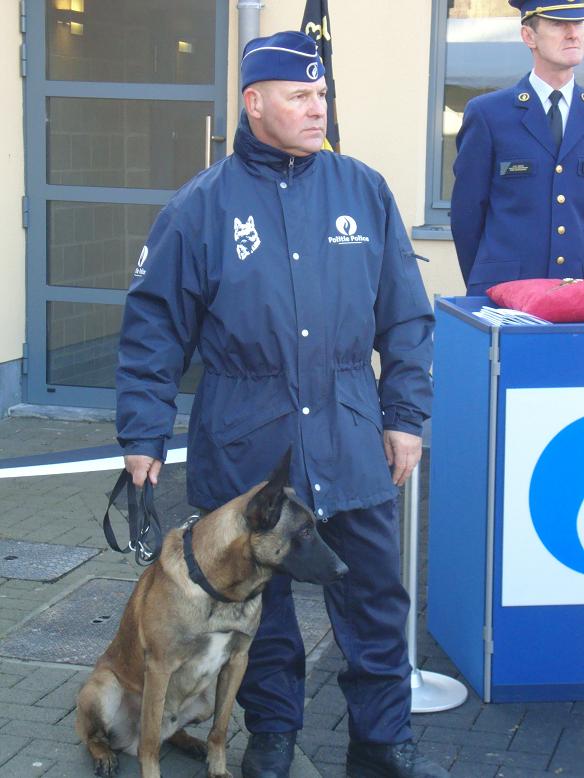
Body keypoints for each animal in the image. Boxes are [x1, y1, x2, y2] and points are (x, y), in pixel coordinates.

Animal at [76, 448, 346, 776]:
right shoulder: (159, 668)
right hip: (105, 688)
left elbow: (220, 729)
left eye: (314, 528)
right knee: (102, 736)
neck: (217, 590)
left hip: (202, 703)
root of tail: (126, 740)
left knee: (171, 731)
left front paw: (217, 768)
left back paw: (192, 743)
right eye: (305, 532)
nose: (344, 570)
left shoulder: (238, 662)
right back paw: (104, 755)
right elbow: (150, 744)